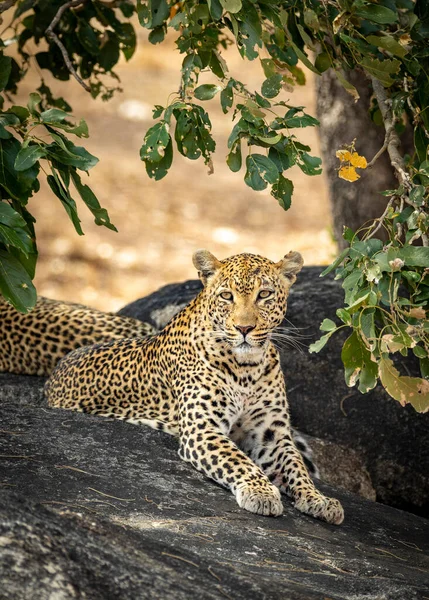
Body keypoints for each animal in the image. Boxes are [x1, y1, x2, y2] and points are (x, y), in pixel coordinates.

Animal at [44, 251, 344, 524]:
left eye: (265, 294)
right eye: (227, 296)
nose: (244, 328)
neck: (247, 368)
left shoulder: (271, 434)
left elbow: (296, 467)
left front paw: (319, 499)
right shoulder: (203, 429)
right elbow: (238, 460)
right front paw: (260, 492)